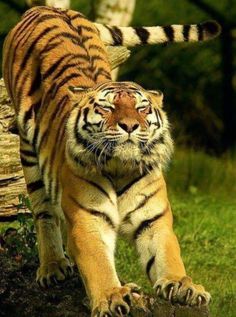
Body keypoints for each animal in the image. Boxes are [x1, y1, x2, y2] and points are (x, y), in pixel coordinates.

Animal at [1, 5, 220, 316]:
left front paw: (184, 285)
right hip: (28, 152)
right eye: (108, 108)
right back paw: (53, 267)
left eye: (142, 108)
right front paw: (111, 296)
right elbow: (98, 264)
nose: (130, 125)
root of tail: (47, 7)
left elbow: (169, 256)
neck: (120, 169)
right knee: (43, 212)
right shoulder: (87, 220)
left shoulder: (154, 221)